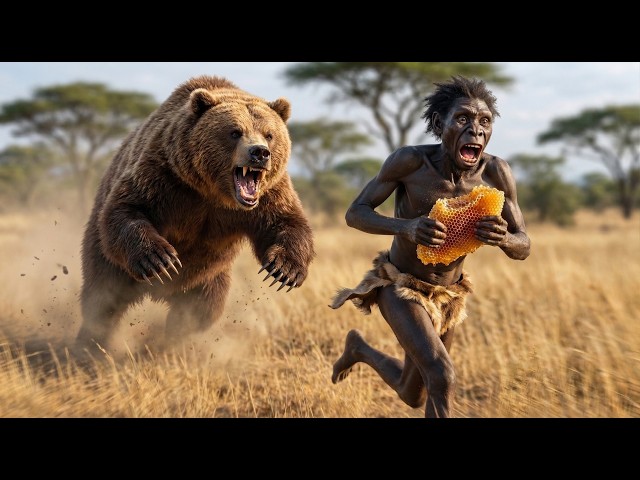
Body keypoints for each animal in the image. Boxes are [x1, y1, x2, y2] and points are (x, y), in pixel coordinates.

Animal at [75, 75, 315, 353]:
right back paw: (90, 345)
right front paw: (159, 259)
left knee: (203, 309)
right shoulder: (165, 176)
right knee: (102, 299)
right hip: (109, 258)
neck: (213, 192)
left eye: (269, 134)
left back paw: (168, 340)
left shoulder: (265, 198)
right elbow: (128, 208)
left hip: (207, 277)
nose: (259, 153)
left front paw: (284, 270)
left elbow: (286, 222)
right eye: (235, 132)